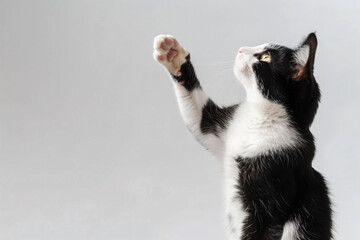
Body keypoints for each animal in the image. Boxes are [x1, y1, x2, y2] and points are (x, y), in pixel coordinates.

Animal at [151, 32, 332, 240]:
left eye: (265, 57)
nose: (241, 49)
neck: (258, 117)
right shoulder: (220, 129)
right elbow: (199, 119)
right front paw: (171, 53)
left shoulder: (275, 187)